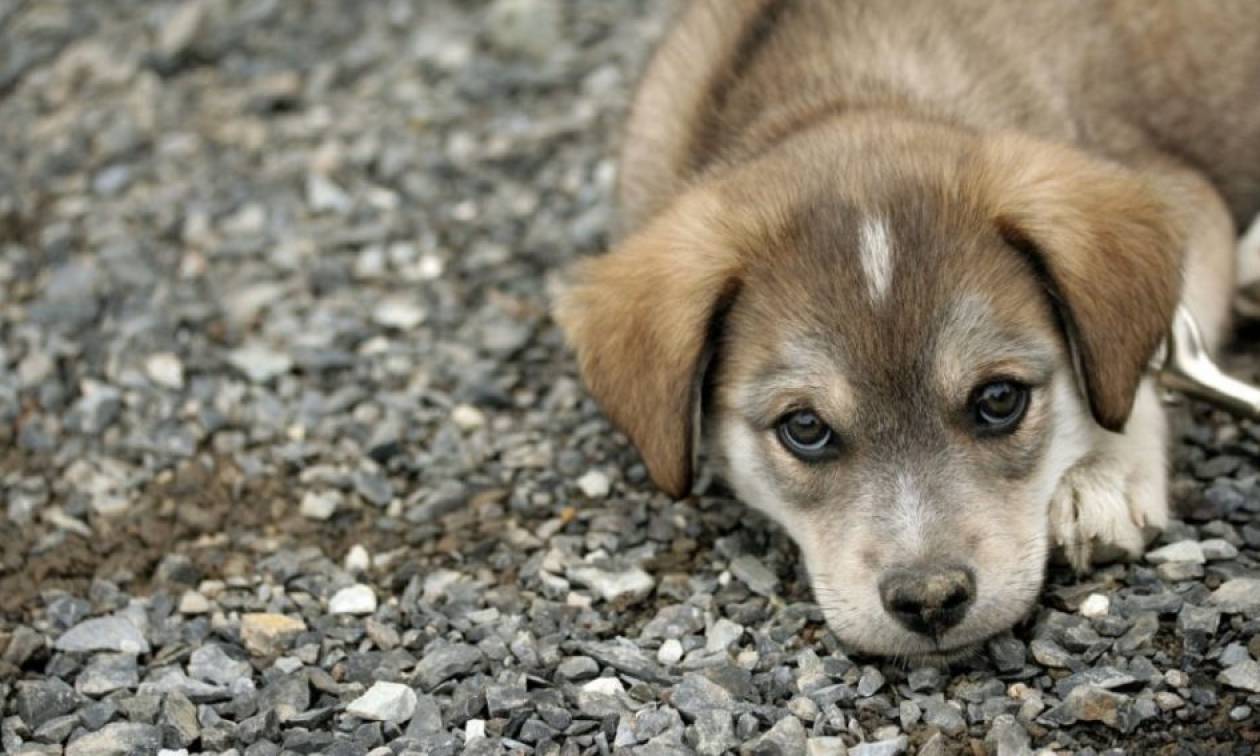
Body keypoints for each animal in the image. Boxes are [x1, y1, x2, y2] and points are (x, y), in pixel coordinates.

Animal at [556, 0, 1260, 660]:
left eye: (998, 399)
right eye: (804, 427)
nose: (931, 601)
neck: (848, 85)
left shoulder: (1185, 191)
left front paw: (1101, 472)